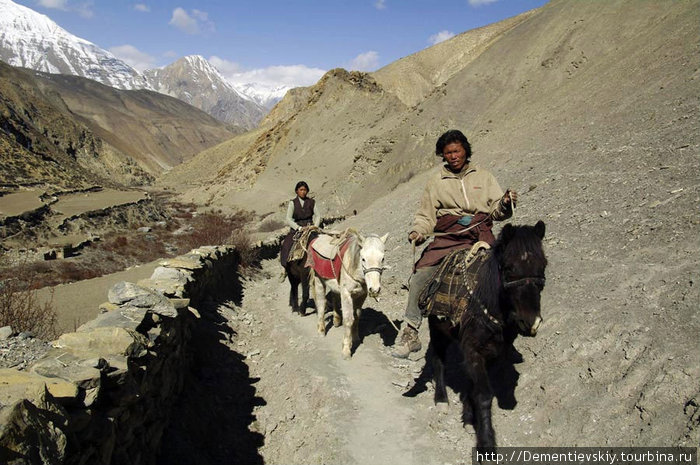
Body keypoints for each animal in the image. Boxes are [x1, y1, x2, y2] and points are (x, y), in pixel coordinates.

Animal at [426, 219, 548, 448]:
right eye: (509, 267)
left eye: (543, 265)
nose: (530, 323)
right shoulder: (473, 350)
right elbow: (483, 395)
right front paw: (486, 444)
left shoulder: (494, 352)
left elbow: (474, 386)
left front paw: (468, 417)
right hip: (436, 329)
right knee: (438, 360)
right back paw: (441, 399)